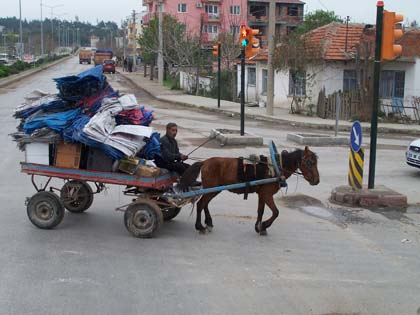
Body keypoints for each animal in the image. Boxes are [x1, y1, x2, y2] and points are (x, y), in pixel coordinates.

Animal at [181, 147, 322, 236]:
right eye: (310, 162)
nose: (317, 180)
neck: (276, 167)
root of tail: (204, 162)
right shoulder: (267, 194)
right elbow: (276, 212)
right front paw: (264, 225)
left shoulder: (262, 195)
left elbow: (260, 211)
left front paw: (259, 227)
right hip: (211, 189)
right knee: (201, 204)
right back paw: (200, 226)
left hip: (214, 189)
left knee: (205, 204)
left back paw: (208, 222)